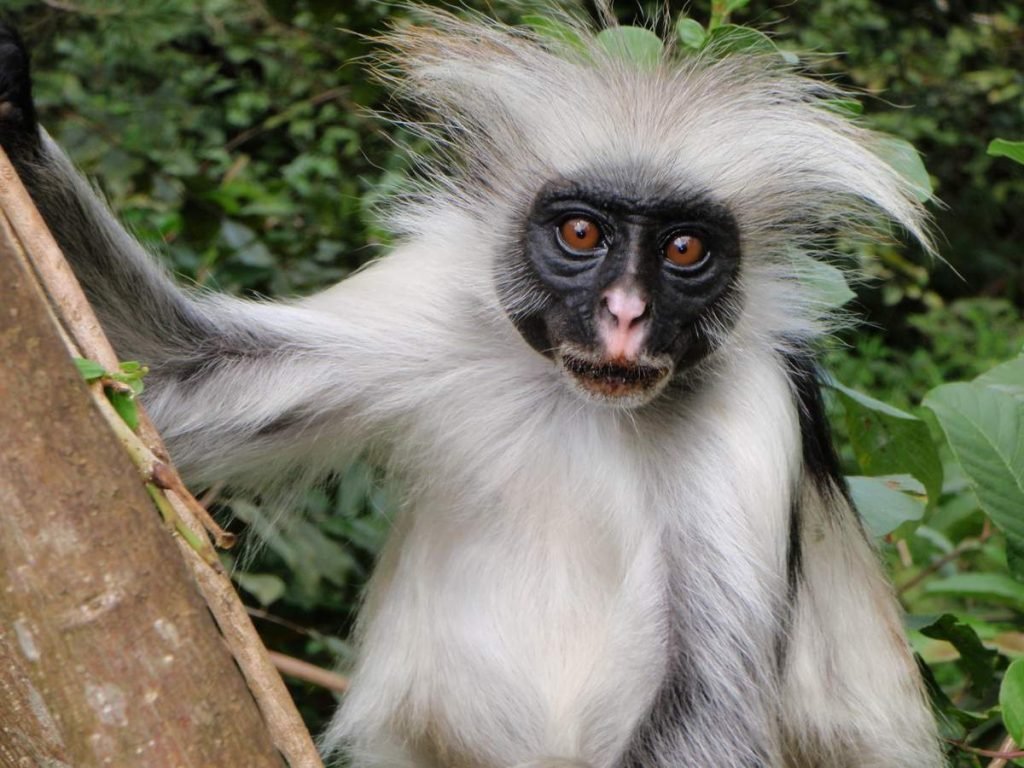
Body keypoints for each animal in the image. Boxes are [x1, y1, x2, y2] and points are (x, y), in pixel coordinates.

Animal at [0, 7, 942, 768]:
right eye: (580, 233)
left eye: (684, 250)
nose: (626, 316)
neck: (577, 398)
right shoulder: (441, 300)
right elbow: (168, 385)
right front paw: (10, 107)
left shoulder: (748, 403)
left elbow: (705, 713)